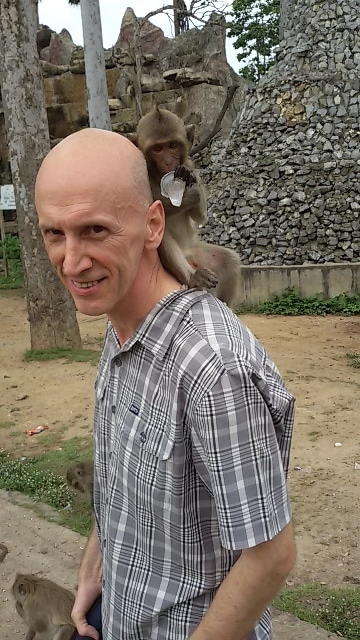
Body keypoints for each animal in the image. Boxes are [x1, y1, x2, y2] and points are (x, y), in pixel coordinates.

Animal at [128, 107, 240, 308]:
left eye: (173, 145)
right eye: (158, 149)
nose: (168, 161)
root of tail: (189, 259)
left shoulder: (190, 164)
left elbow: (200, 217)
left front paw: (189, 182)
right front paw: (188, 195)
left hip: (199, 254)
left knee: (230, 260)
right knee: (160, 233)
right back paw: (193, 278)